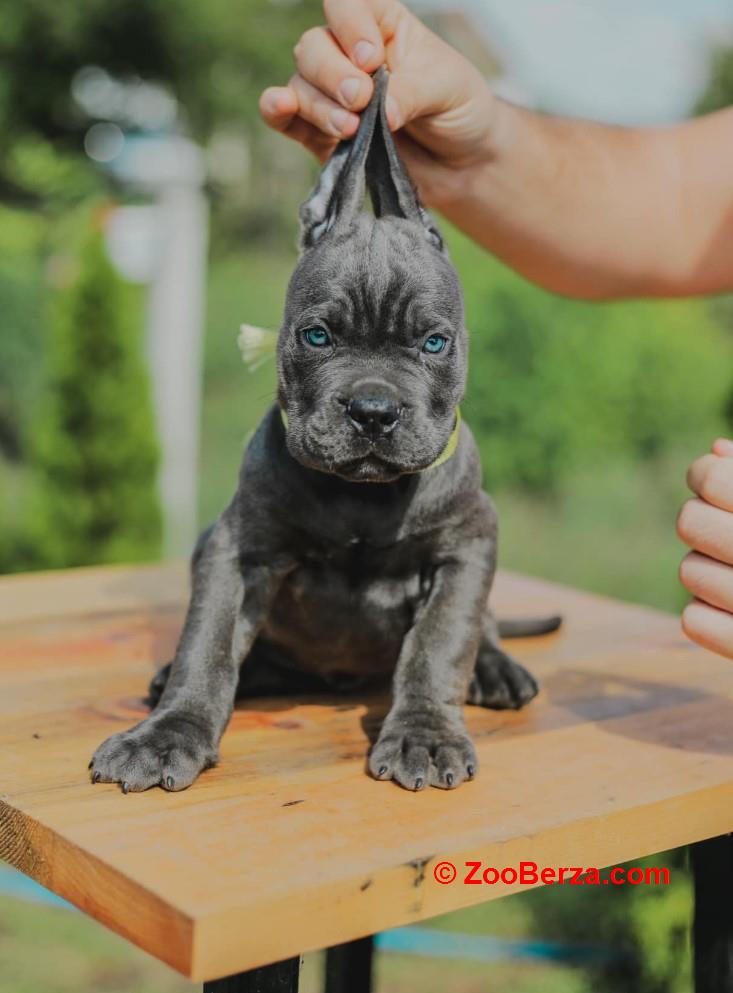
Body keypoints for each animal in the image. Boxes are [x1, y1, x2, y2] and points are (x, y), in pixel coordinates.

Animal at [91, 66, 560, 796]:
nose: (371, 409)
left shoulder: (466, 545)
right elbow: (207, 644)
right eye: (317, 336)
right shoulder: (238, 549)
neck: (362, 498)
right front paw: (170, 730)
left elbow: (439, 644)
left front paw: (425, 732)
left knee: (482, 627)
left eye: (433, 342)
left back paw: (495, 666)